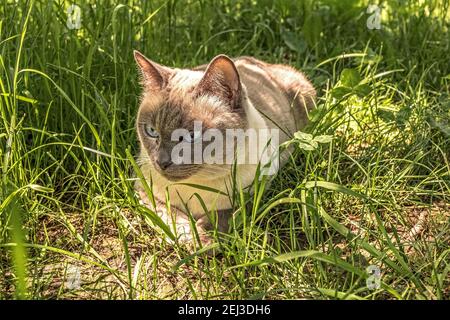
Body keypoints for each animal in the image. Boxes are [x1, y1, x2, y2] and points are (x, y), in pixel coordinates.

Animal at [134, 51, 316, 249]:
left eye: (191, 136)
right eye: (151, 131)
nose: (161, 162)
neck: (196, 185)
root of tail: (258, 61)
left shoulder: (254, 193)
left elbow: (219, 218)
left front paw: (203, 242)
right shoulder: (144, 191)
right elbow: (170, 216)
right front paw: (191, 240)